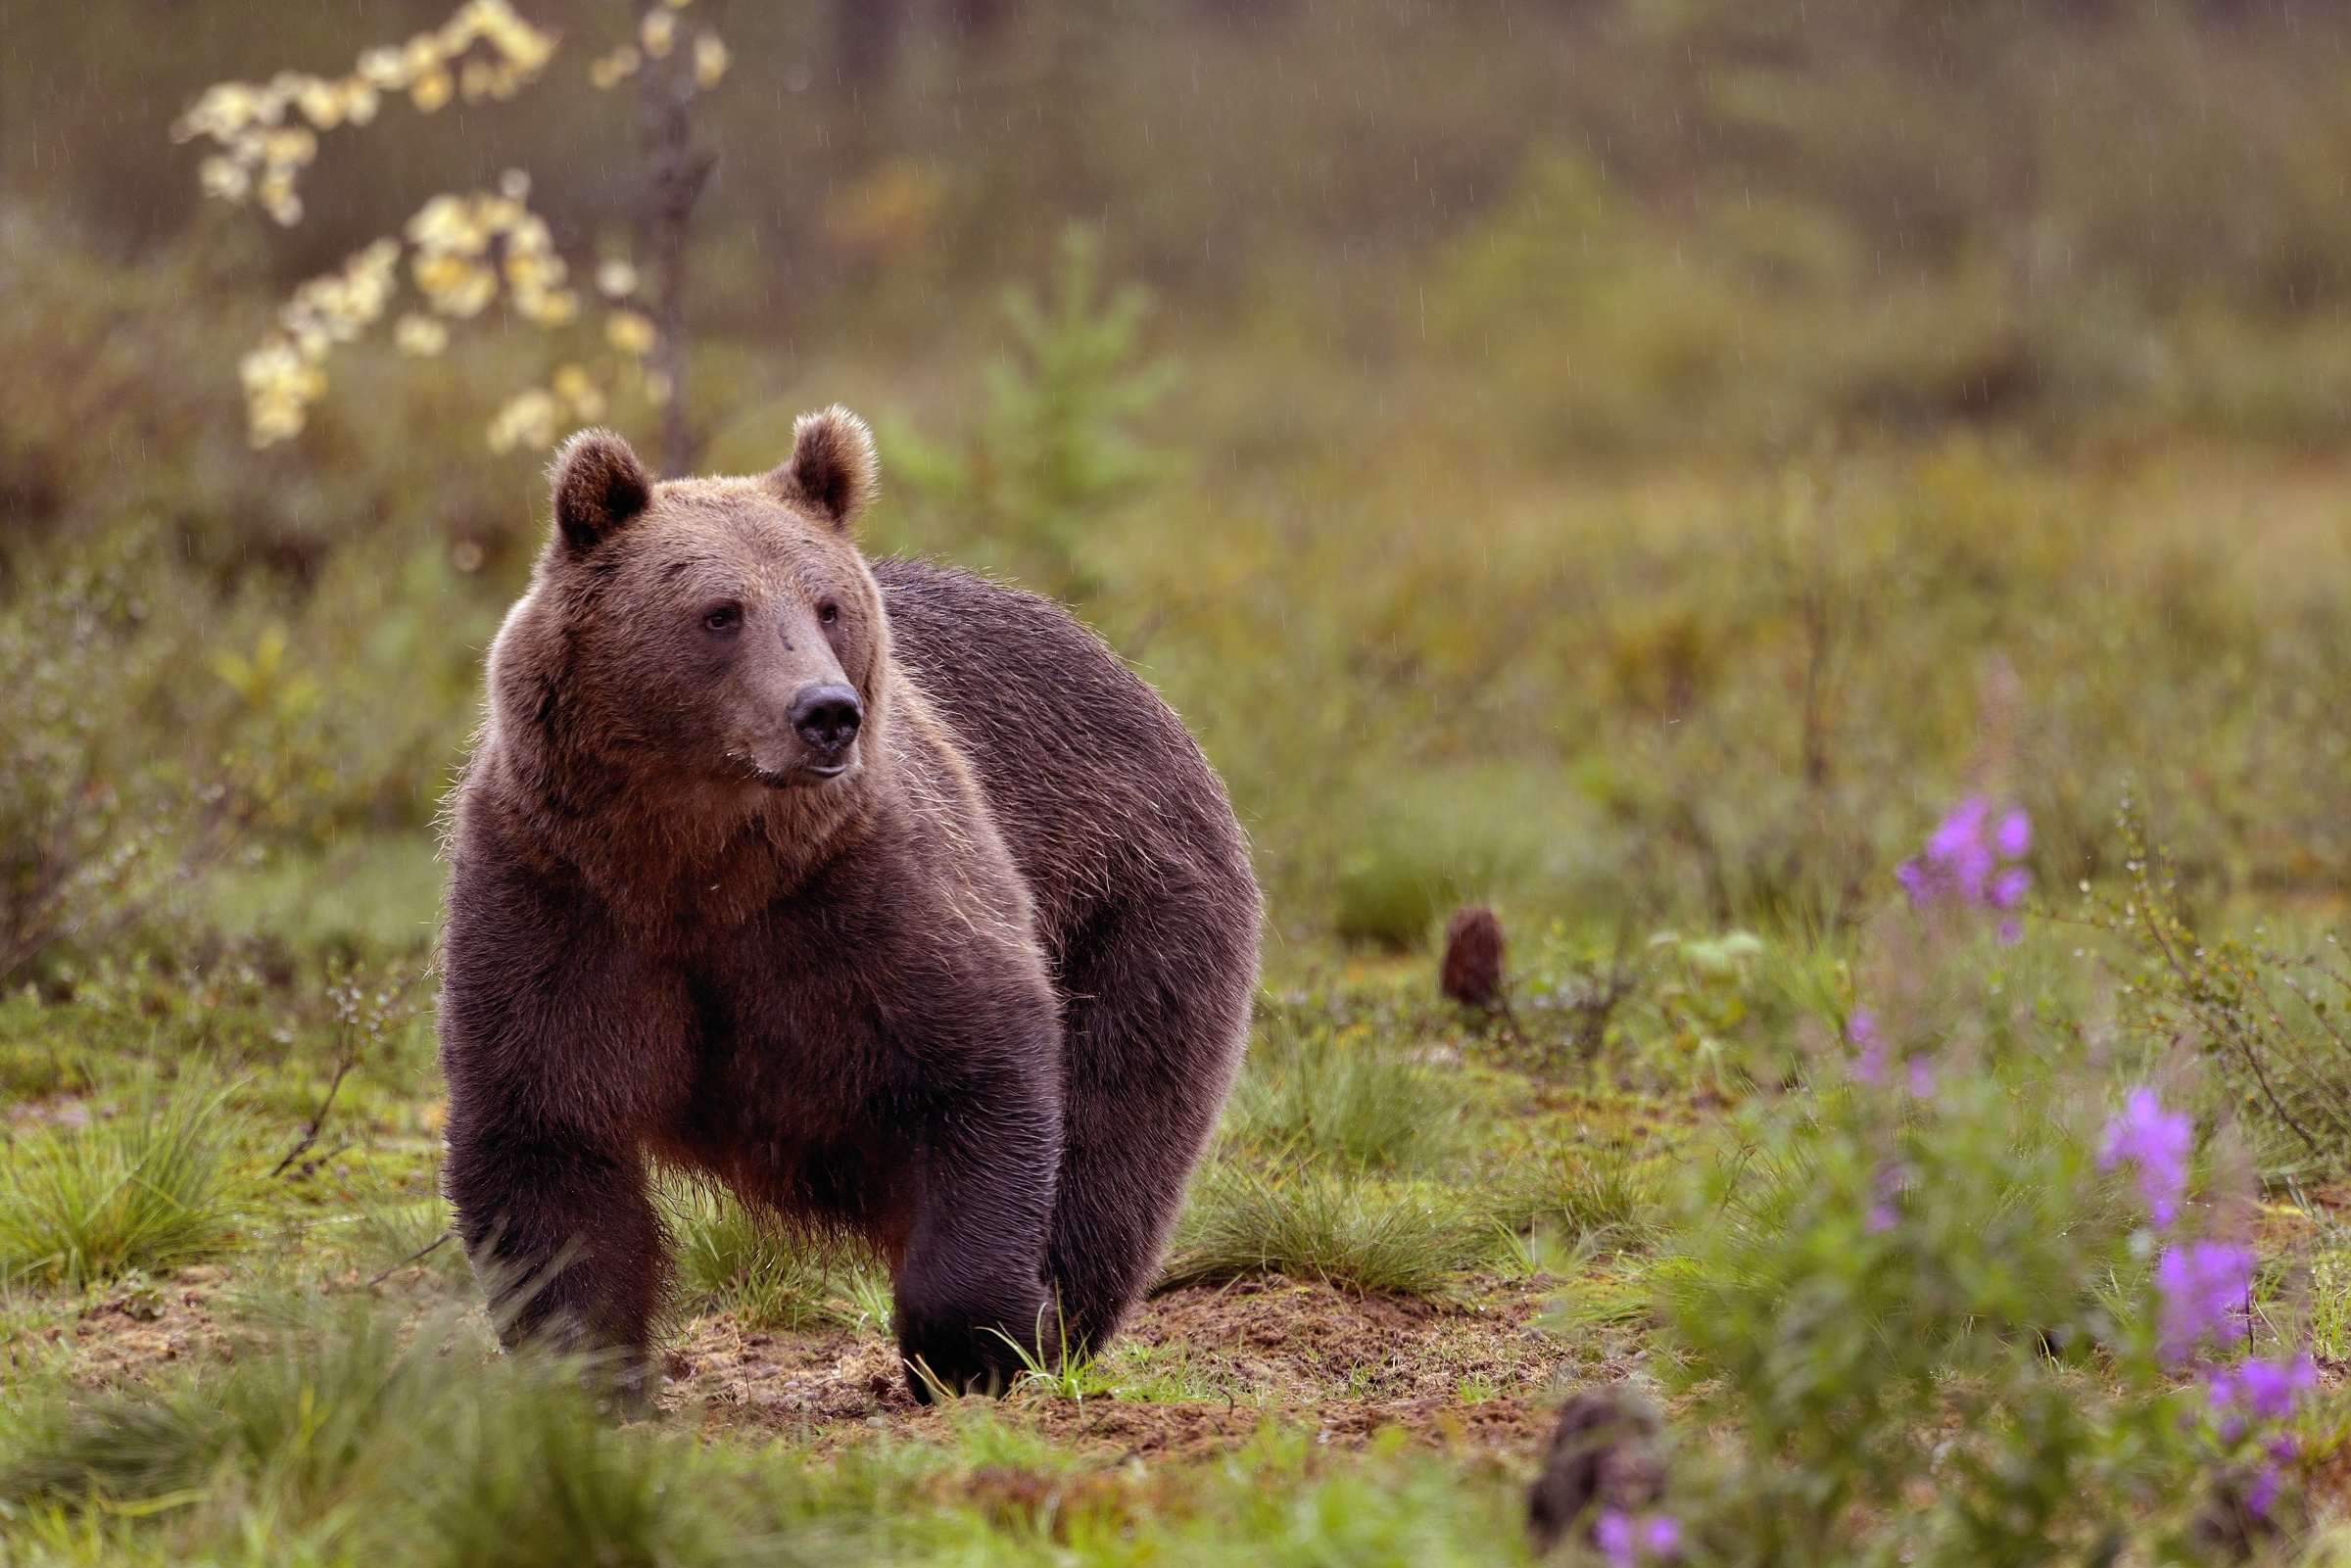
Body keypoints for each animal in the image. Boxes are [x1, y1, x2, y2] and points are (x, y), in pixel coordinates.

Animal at [435, 407, 1259, 1399]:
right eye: (721, 611)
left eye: (826, 604)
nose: (825, 710)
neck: (697, 863)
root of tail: (1136, 683)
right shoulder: (559, 900)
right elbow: (544, 1136)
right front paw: (584, 1369)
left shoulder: (859, 893)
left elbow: (978, 1066)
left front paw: (977, 1344)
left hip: (1135, 900)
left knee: (1114, 1133)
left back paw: (1063, 1319)